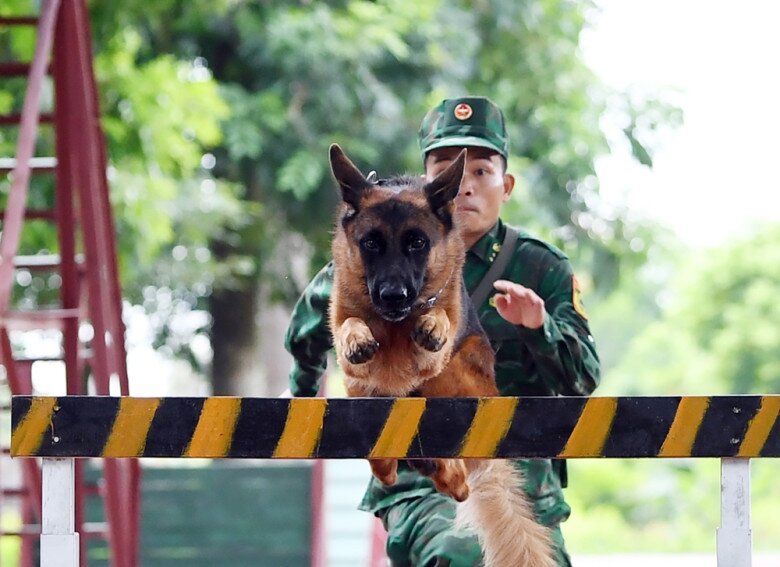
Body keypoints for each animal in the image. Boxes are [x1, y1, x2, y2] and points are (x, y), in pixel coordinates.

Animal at [328, 145, 556, 567]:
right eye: (371, 243)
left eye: (417, 243)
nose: (393, 296)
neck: (395, 325)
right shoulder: (351, 356)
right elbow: (351, 326)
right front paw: (359, 336)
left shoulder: (435, 350)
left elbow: (437, 322)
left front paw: (431, 324)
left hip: (459, 378)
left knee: (460, 477)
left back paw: (443, 470)